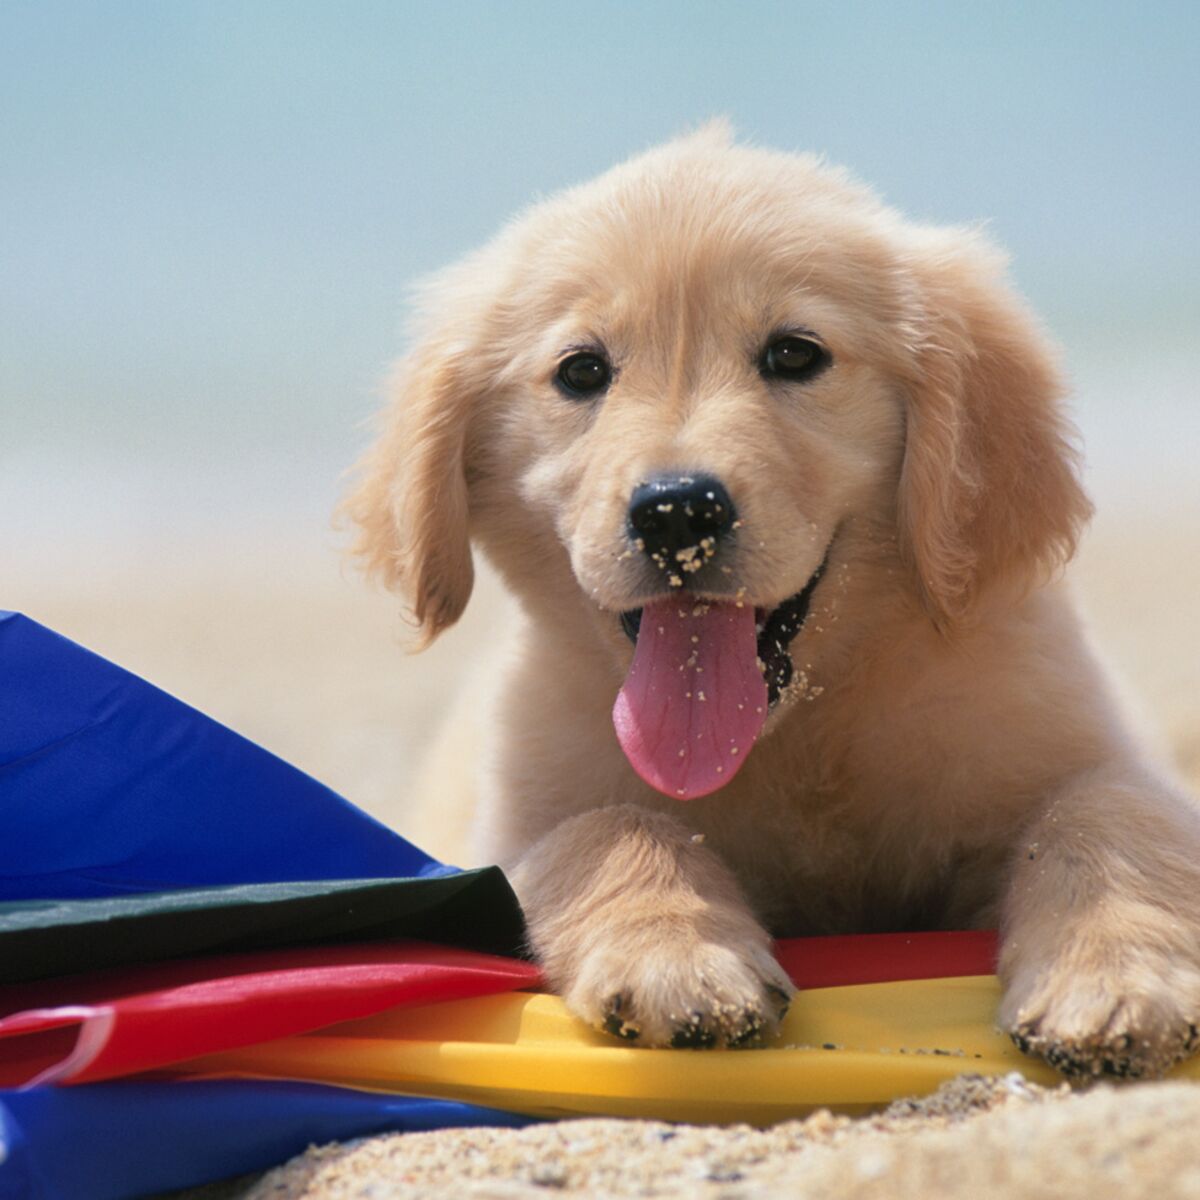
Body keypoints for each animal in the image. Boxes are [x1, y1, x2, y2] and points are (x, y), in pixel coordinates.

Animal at [345, 124, 1200, 1080]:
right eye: (582, 371)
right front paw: (675, 955)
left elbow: (1107, 814)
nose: (678, 509)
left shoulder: (1084, 738)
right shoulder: (509, 830)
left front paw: (1115, 977)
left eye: (796, 354)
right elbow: (604, 824)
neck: (800, 735)